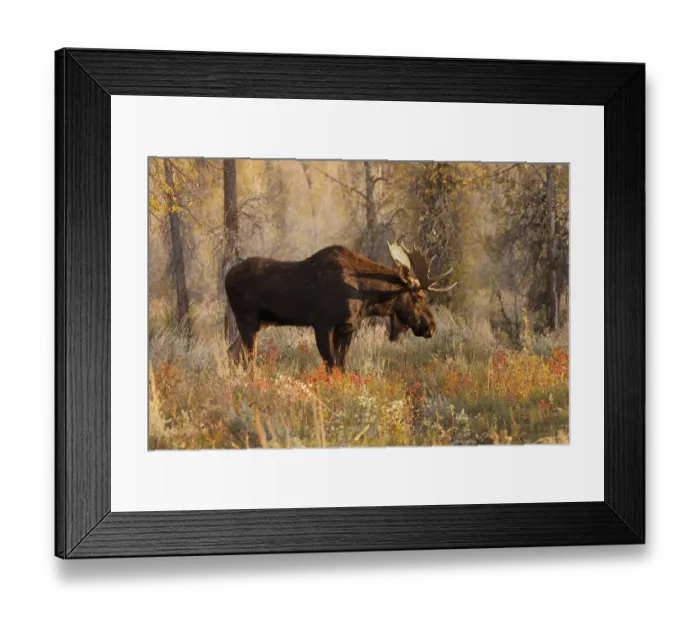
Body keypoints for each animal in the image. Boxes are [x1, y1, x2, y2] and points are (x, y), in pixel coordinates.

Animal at [224, 242, 456, 370]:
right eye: (418, 295)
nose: (431, 326)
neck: (366, 295)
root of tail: (226, 277)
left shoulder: (347, 327)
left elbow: (341, 366)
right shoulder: (322, 324)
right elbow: (331, 365)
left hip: (258, 324)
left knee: (233, 352)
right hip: (247, 320)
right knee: (248, 359)